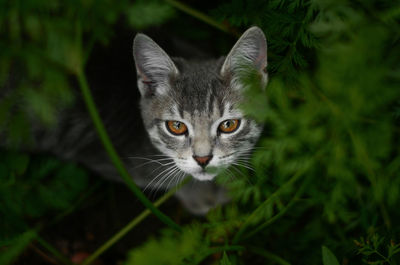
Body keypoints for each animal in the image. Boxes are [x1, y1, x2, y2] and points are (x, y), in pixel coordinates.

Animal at [10, 25, 268, 213]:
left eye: (229, 125)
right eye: (176, 126)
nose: (203, 159)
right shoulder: (102, 153)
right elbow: (166, 179)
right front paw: (203, 194)